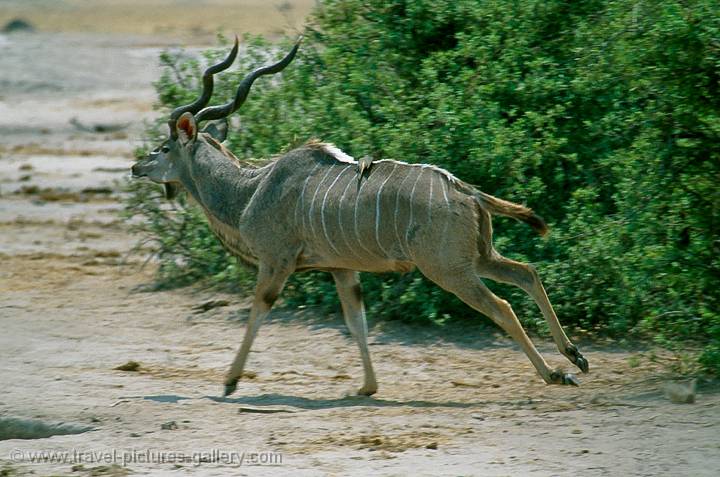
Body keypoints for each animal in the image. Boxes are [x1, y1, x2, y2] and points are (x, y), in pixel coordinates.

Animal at [132, 37, 588, 396]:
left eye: (165, 147)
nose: (137, 167)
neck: (252, 188)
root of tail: (468, 191)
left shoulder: (276, 262)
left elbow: (258, 311)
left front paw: (229, 381)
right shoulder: (341, 268)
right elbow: (357, 321)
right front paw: (367, 387)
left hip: (448, 269)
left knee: (502, 307)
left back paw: (554, 374)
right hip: (476, 258)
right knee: (527, 272)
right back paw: (574, 356)